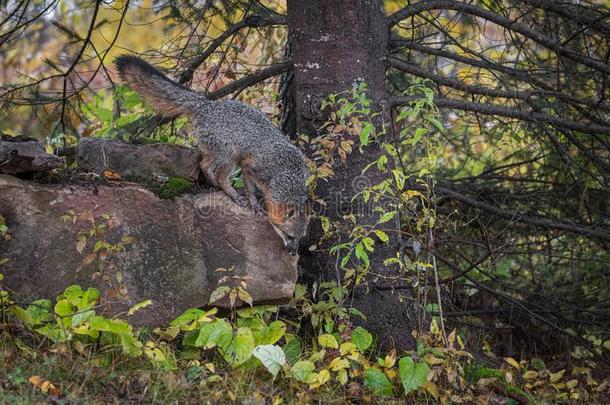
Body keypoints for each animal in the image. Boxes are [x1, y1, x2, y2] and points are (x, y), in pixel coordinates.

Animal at [115, 55, 308, 254]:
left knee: (204, 165)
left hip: (218, 154)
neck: (287, 176)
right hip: (230, 156)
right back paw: (230, 192)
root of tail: (209, 104)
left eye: (300, 239)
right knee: (219, 175)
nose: (294, 253)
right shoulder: (250, 167)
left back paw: (213, 182)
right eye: (289, 236)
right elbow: (251, 189)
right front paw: (255, 204)